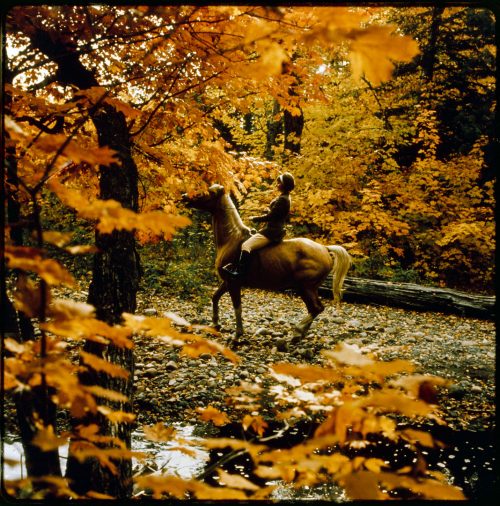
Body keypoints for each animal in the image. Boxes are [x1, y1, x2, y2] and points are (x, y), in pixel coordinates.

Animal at [182, 184, 350, 342]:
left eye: (208, 192)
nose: (184, 196)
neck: (231, 239)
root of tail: (325, 249)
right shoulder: (227, 281)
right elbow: (215, 297)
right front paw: (216, 324)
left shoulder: (233, 283)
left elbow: (237, 307)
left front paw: (237, 335)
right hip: (309, 288)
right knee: (315, 309)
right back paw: (299, 334)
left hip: (305, 287)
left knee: (316, 308)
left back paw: (297, 331)